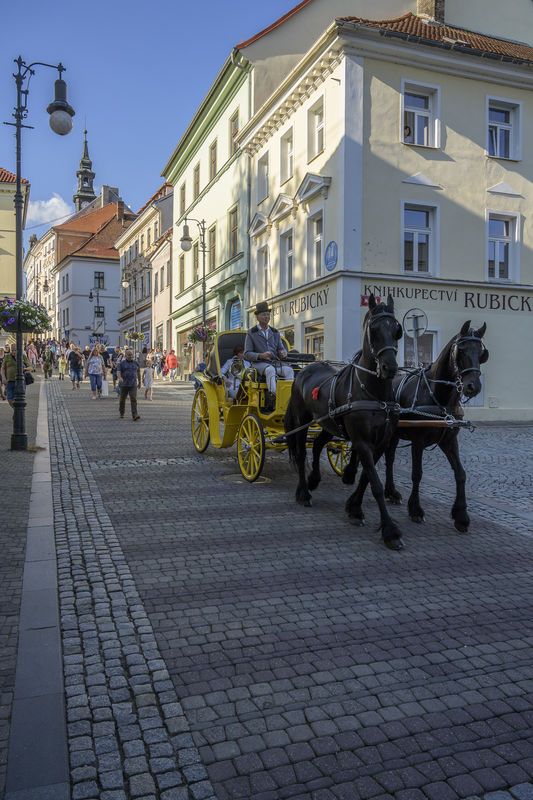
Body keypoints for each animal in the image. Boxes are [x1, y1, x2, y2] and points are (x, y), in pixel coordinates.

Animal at [282, 294, 404, 552]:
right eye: (373, 330)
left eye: (397, 330)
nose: (389, 368)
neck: (373, 393)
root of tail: (303, 370)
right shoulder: (362, 441)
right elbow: (375, 483)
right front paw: (390, 531)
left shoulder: (381, 441)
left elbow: (367, 477)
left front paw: (354, 508)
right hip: (302, 419)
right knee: (301, 453)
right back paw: (304, 492)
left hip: (328, 423)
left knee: (318, 445)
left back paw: (314, 479)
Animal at [348, 318, 488, 532]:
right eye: (462, 351)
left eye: (482, 354)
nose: (474, 387)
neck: (439, 397)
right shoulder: (418, 441)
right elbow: (417, 474)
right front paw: (416, 510)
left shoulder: (449, 441)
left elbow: (461, 474)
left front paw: (461, 515)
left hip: (393, 435)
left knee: (390, 459)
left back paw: (391, 492)